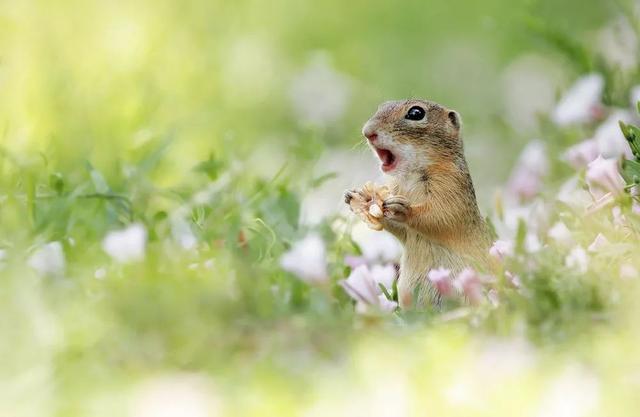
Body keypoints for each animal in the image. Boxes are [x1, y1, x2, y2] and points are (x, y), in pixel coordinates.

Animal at [344, 99, 490, 308]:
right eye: (381, 106)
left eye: (416, 113)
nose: (367, 132)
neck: (409, 176)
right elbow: (402, 230)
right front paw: (355, 197)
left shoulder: (451, 186)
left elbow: (442, 216)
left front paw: (403, 209)